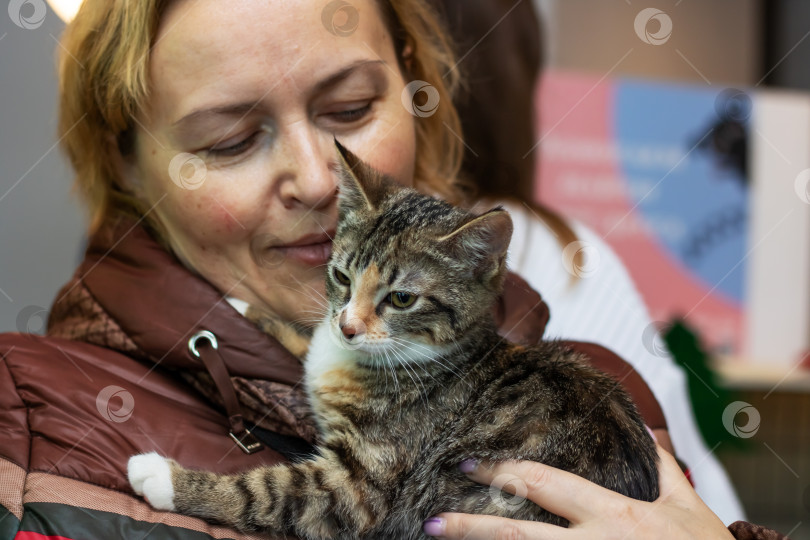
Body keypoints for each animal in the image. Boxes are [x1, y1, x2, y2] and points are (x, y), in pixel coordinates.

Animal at [126, 142, 656, 540]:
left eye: (402, 298)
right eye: (341, 276)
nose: (349, 327)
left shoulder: (361, 487)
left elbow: (270, 493)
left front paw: (164, 479)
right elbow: (305, 342)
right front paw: (241, 307)